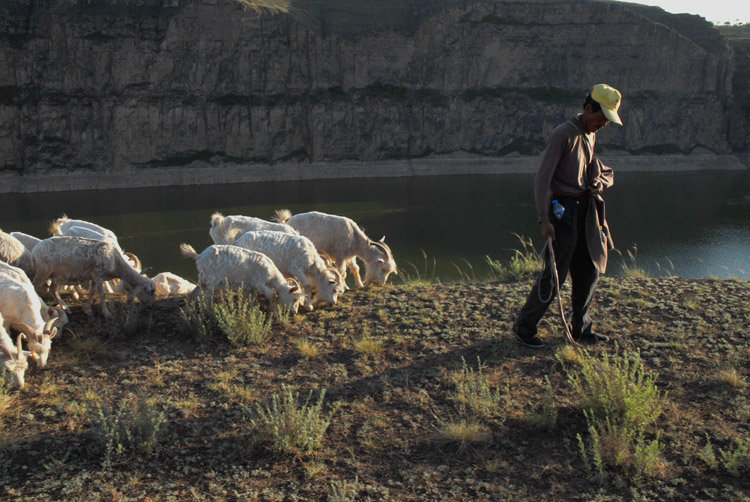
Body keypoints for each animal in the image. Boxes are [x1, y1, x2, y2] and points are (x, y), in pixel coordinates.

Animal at [272, 210, 400, 288]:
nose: (380, 283)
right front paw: (345, 287)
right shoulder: (340, 256)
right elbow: (342, 272)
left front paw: (360, 285)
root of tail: (287, 223)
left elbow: (356, 268)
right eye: (383, 269)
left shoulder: (350, 256)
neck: (354, 237)